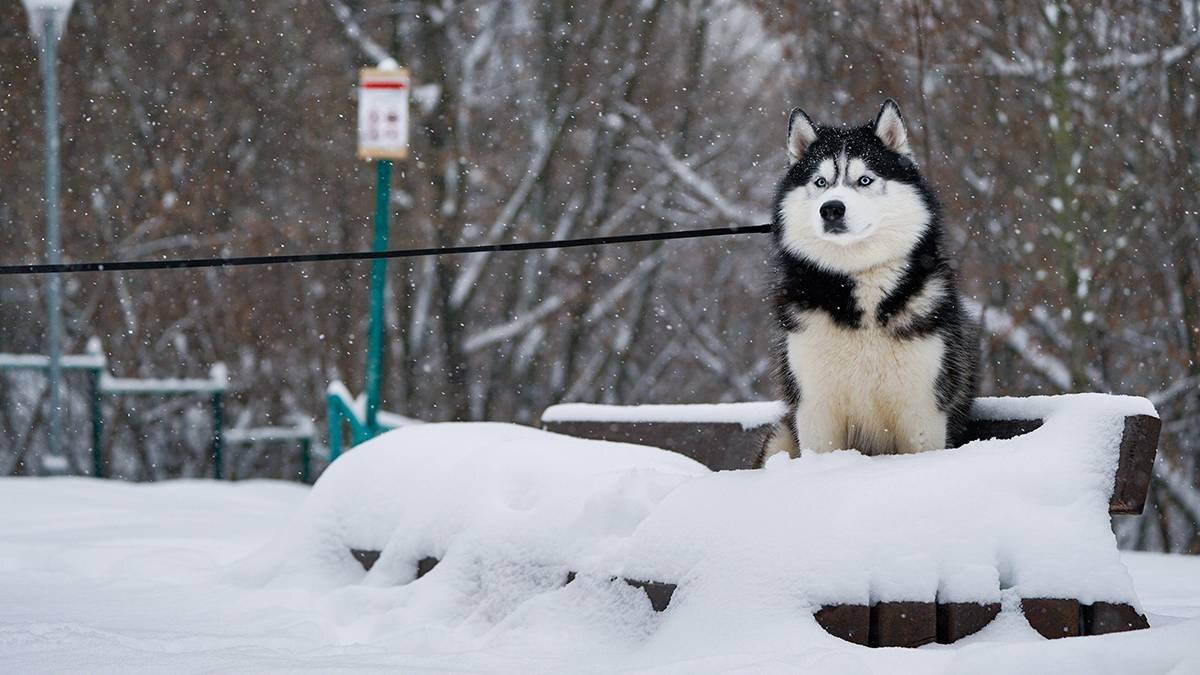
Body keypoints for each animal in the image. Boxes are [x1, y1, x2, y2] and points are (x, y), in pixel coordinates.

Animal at [763, 98, 979, 461]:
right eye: (820, 182)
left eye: (864, 180)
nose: (831, 209)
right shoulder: (815, 409)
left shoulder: (923, 410)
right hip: (780, 436)